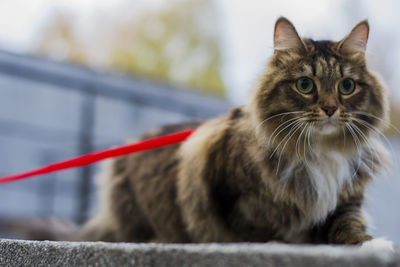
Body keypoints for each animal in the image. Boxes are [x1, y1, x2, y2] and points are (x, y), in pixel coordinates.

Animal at [76, 17, 392, 250]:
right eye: (305, 85)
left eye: (346, 86)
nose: (330, 109)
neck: (320, 149)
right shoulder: (232, 196)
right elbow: (258, 229)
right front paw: (277, 243)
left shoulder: (346, 198)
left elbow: (349, 224)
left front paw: (370, 244)